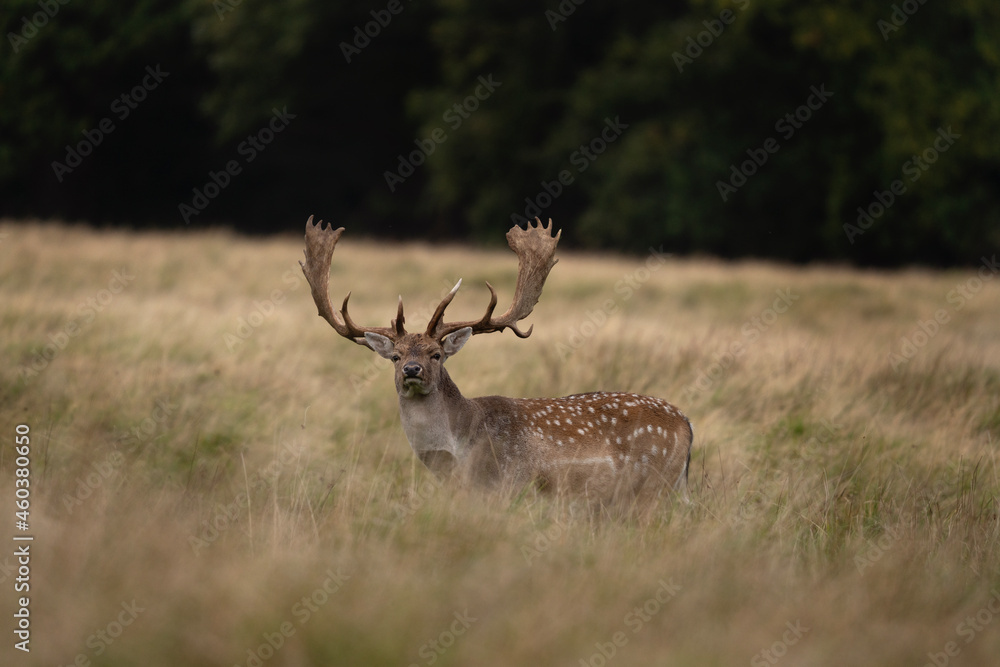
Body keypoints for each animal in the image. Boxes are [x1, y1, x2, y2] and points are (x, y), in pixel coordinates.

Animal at [300, 216, 693, 503]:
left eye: (436, 354)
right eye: (395, 356)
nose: (411, 369)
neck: (455, 454)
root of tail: (687, 424)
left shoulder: (505, 486)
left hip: (653, 484)